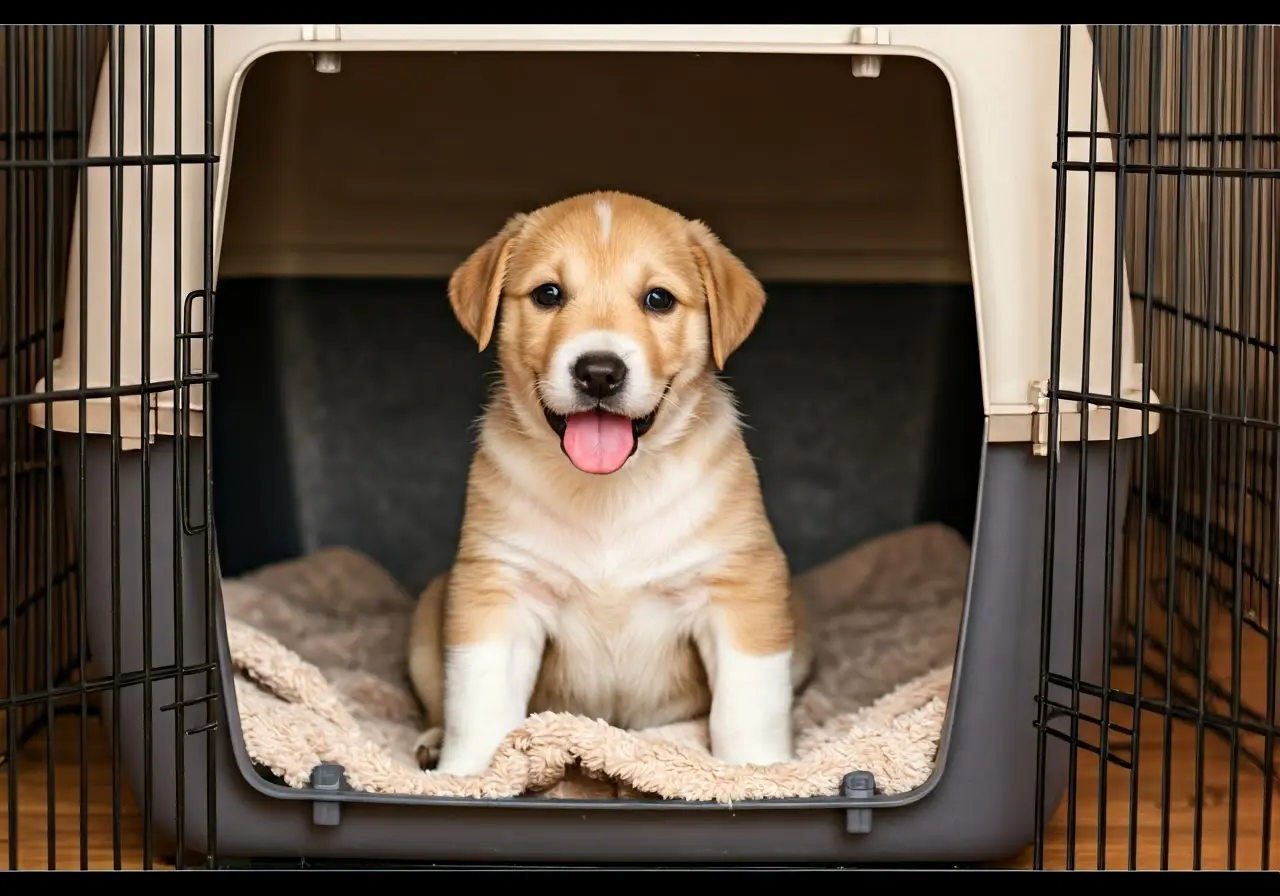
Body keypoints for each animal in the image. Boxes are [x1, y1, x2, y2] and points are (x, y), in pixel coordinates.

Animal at [409, 190, 808, 778]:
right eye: (548, 293)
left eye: (658, 299)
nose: (599, 371)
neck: (609, 492)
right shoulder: (499, 588)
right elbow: (476, 702)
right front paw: (466, 775)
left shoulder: (741, 587)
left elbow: (748, 704)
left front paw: (755, 772)